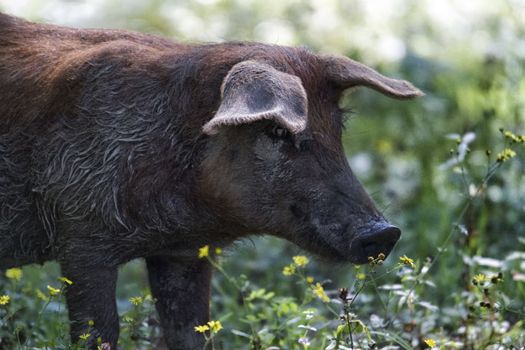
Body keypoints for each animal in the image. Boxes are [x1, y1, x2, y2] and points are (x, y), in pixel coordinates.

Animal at [0, 12, 422, 350]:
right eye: (276, 131)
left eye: (339, 128)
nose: (384, 232)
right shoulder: (81, 239)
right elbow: (97, 331)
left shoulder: (185, 254)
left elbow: (192, 333)